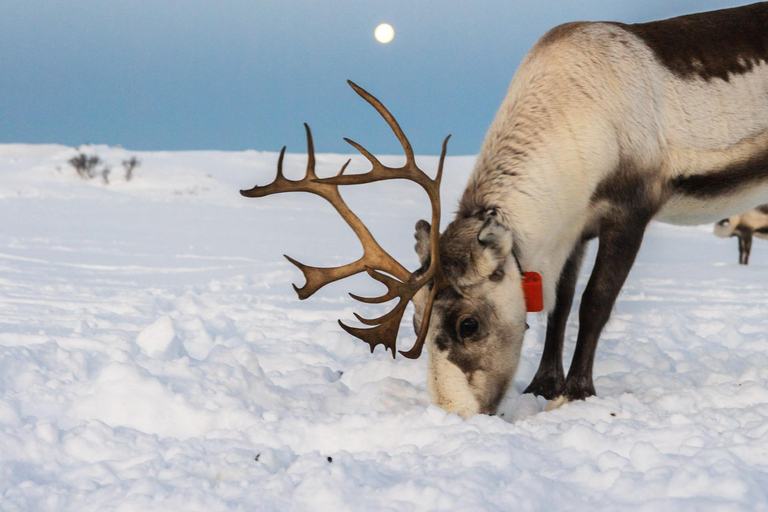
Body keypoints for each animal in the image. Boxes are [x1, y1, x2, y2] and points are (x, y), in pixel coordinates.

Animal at [243, 2, 768, 418]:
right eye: (415, 320)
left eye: (468, 324)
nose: (455, 414)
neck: (579, 115)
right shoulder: (572, 227)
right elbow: (558, 304)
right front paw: (542, 385)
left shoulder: (629, 211)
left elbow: (595, 302)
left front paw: (576, 393)